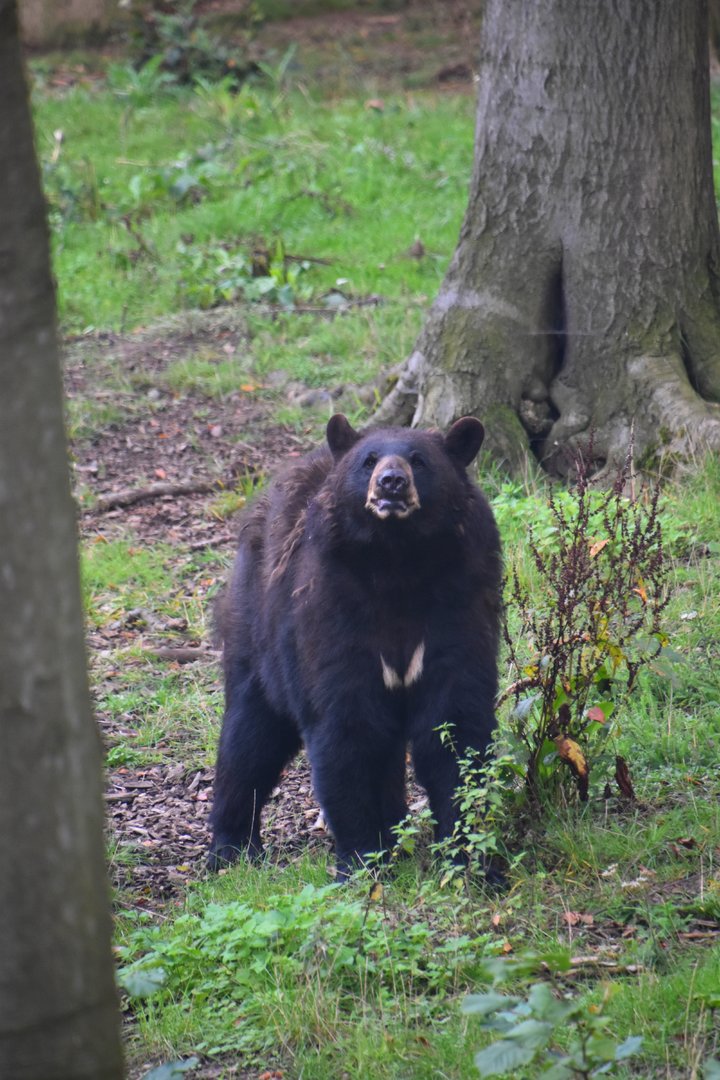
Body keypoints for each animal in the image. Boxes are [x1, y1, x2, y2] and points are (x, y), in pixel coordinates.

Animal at [208, 413, 502, 878]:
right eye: (368, 460)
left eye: (419, 460)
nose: (391, 482)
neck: (398, 562)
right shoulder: (331, 608)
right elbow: (347, 726)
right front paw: (363, 859)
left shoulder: (459, 600)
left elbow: (455, 722)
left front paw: (472, 860)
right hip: (256, 629)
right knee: (250, 737)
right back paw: (231, 847)